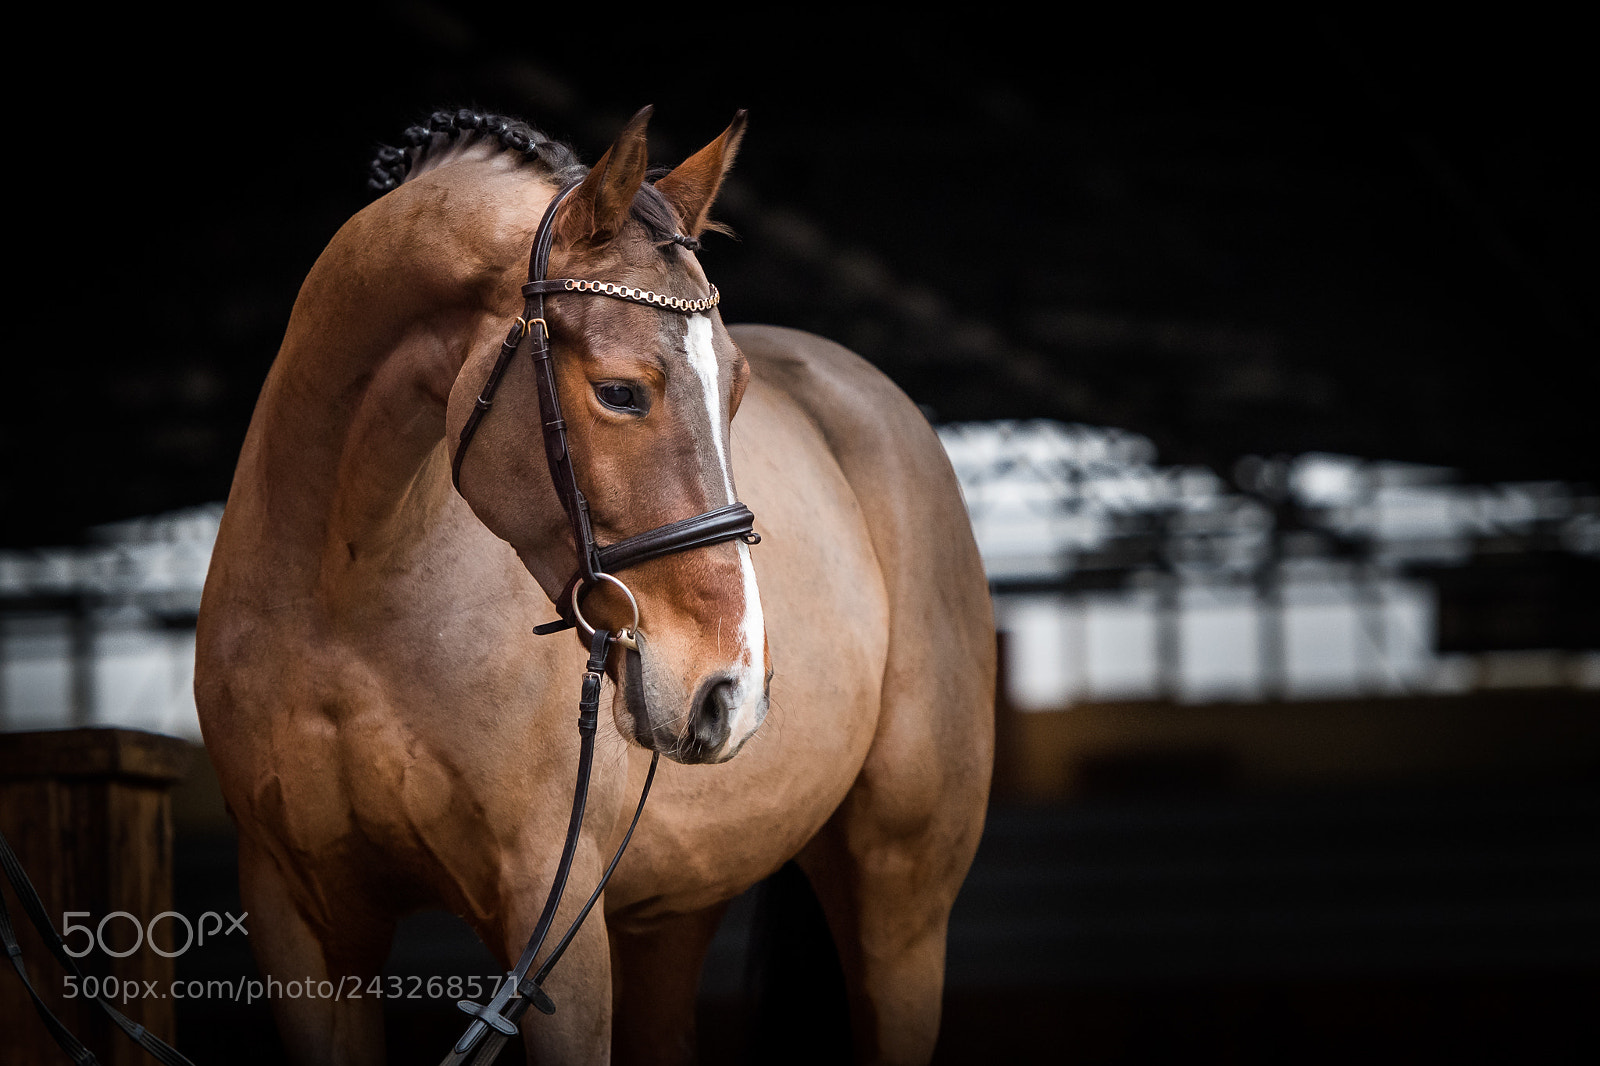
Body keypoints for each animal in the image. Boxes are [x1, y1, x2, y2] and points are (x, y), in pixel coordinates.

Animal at [194, 105, 995, 1066]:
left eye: (738, 389)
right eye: (619, 393)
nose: (731, 692)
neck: (341, 601)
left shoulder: (555, 922)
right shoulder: (301, 921)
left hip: (900, 900)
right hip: (676, 912)